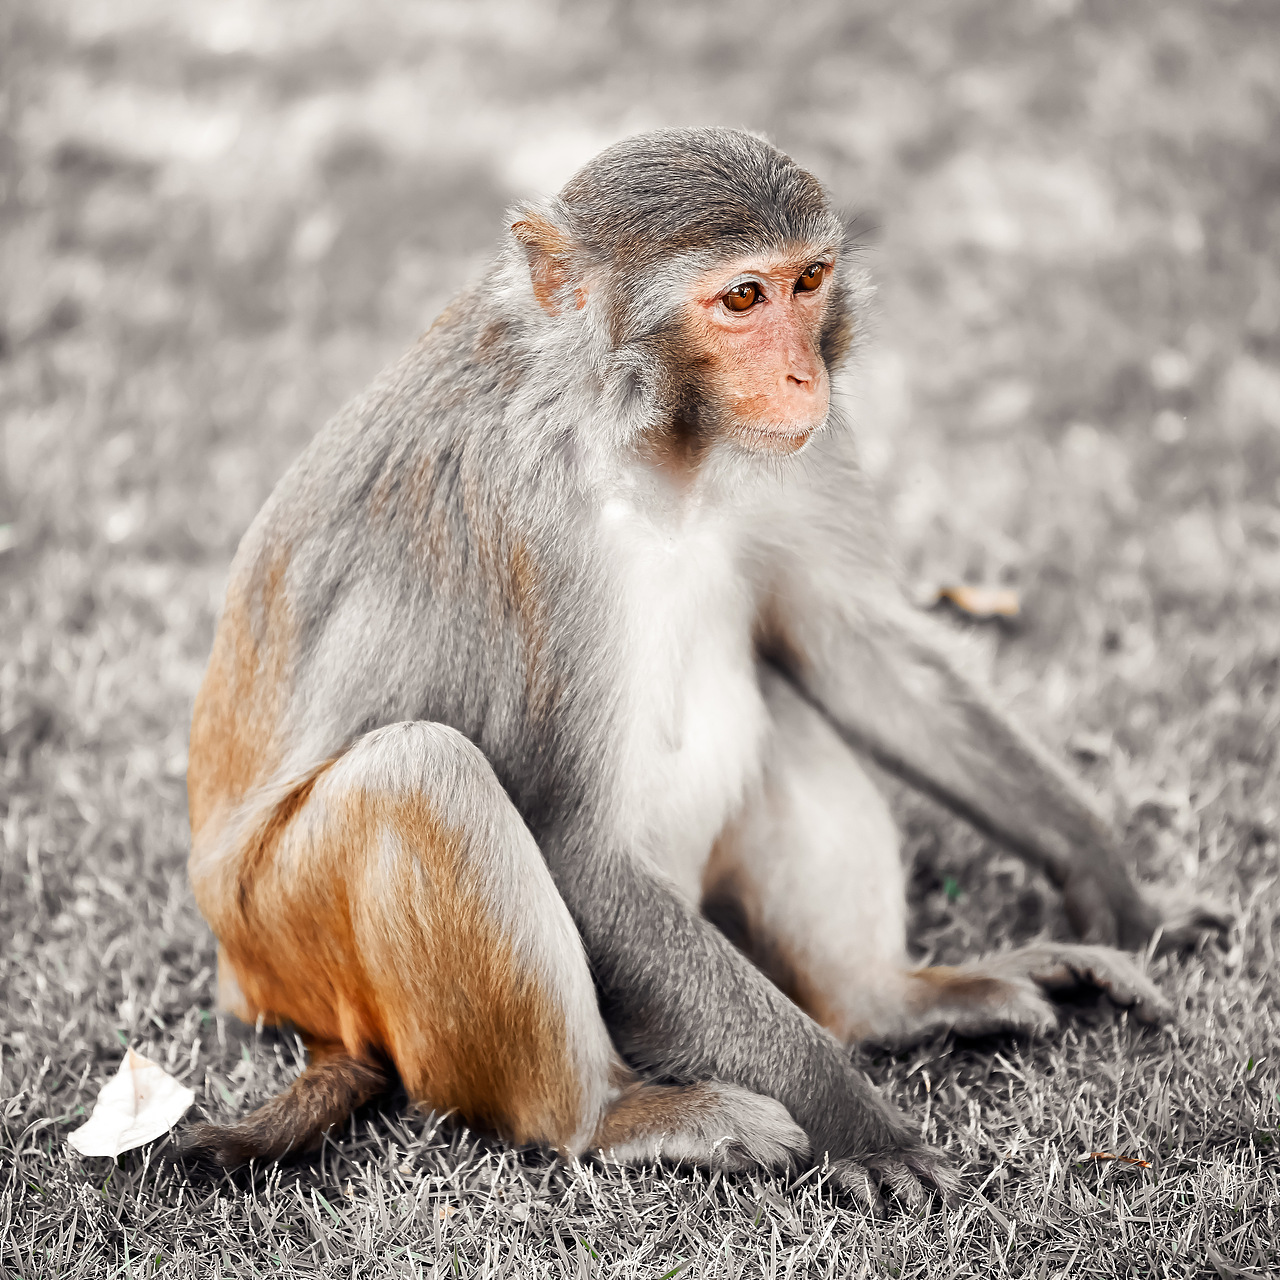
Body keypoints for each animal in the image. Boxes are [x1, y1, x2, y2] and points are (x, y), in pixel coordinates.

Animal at [181, 127, 1225, 1206]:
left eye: (807, 282)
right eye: (740, 299)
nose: (804, 378)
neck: (645, 446)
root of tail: (240, 972)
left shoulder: (800, 458)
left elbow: (853, 653)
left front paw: (1119, 892)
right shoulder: (529, 527)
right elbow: (579, 850)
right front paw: (856, 1118)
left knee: (774, 692)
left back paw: (889, 1002)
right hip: (282, 933)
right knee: (419, 774)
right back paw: (612, 1114)